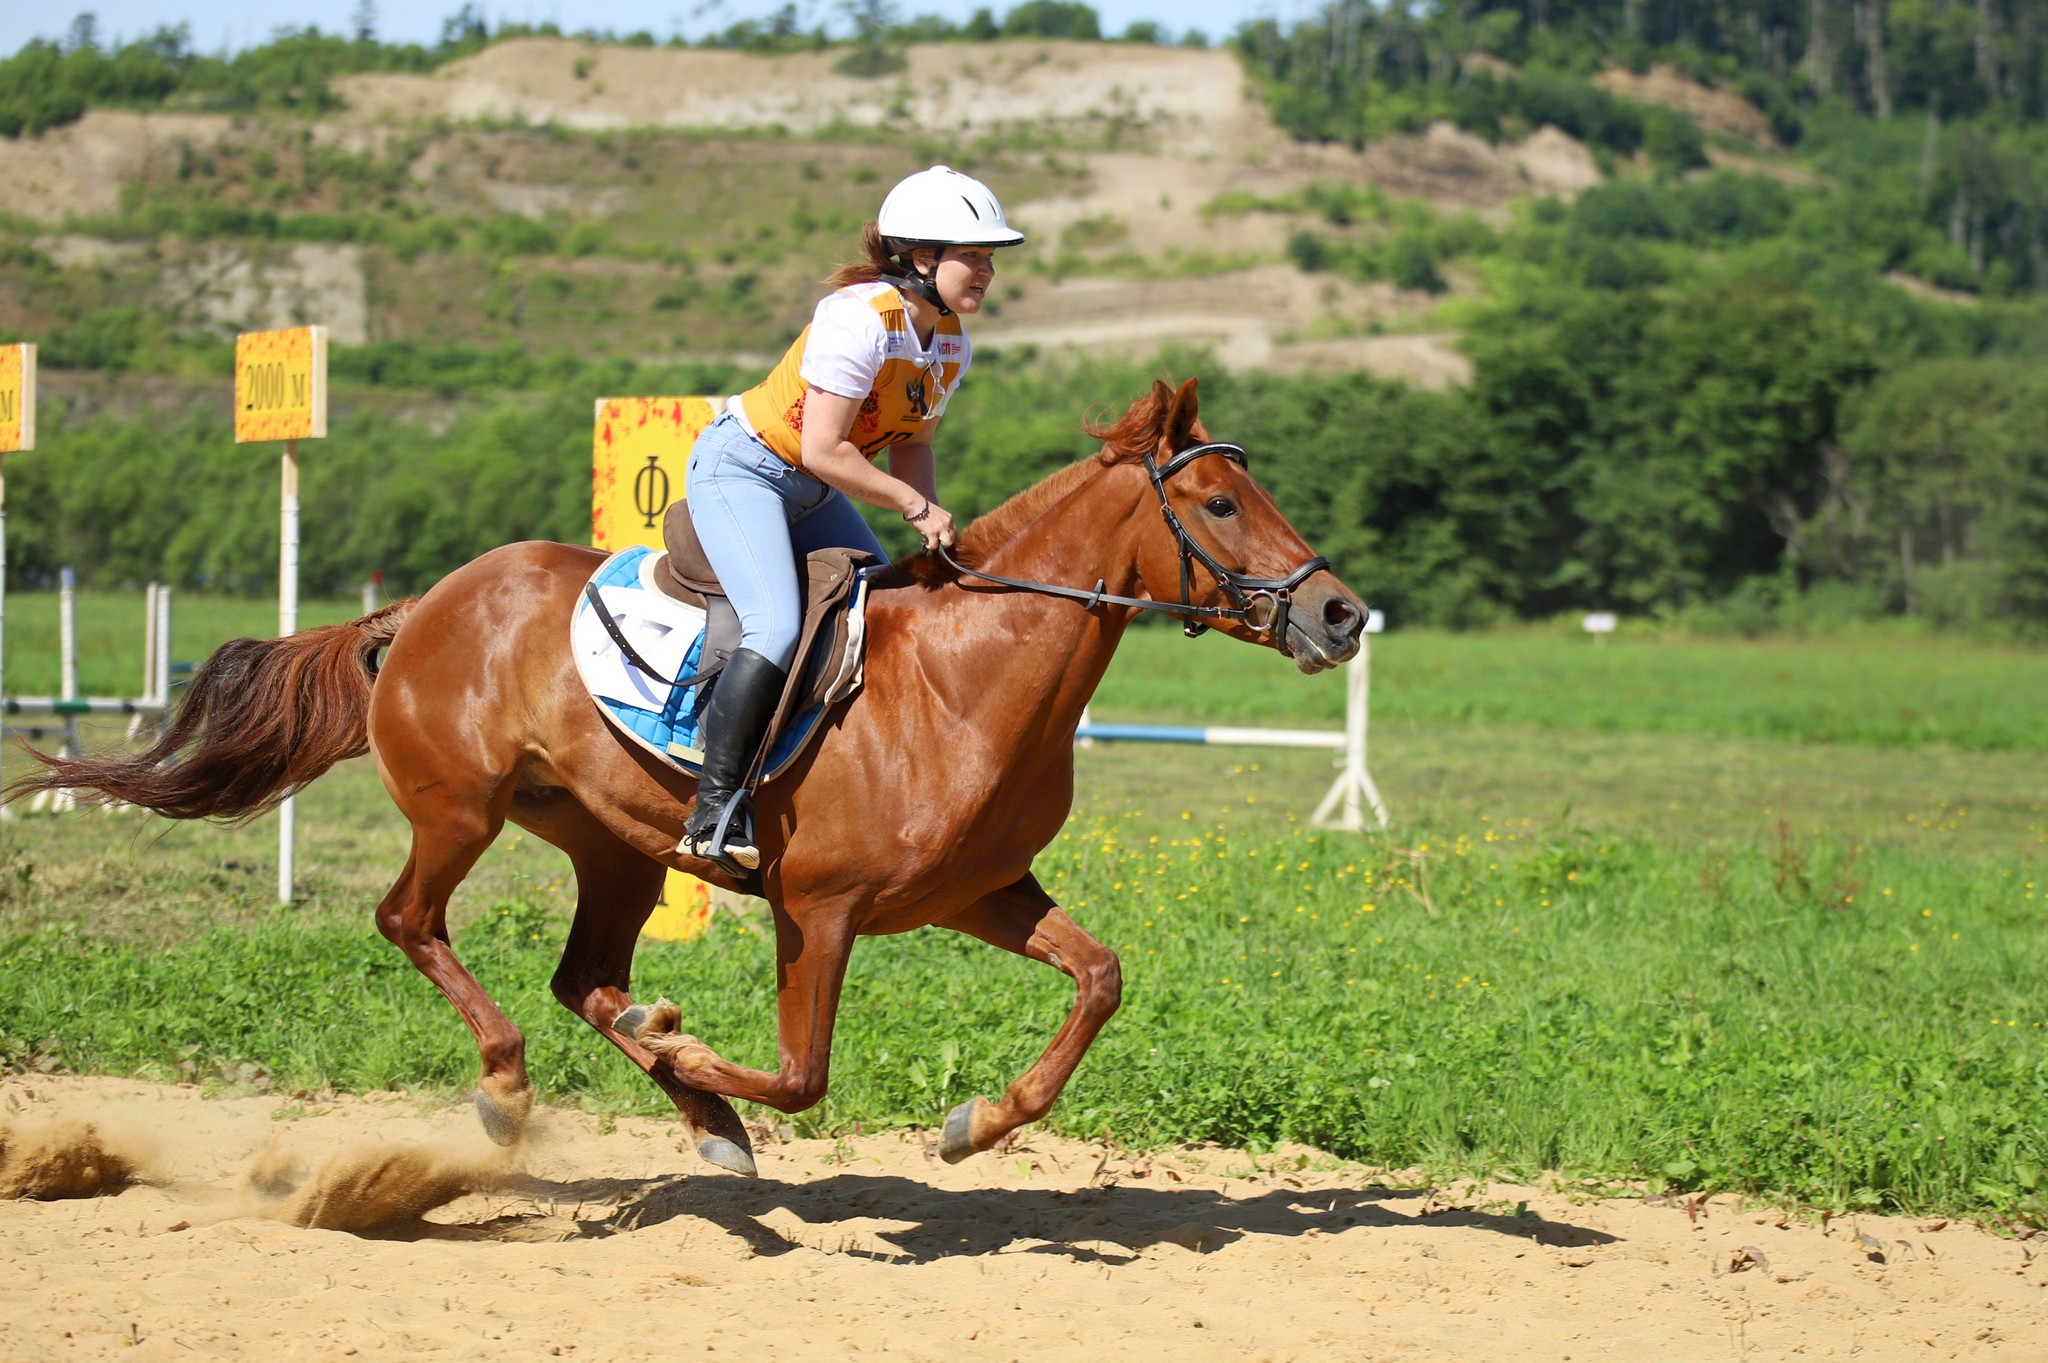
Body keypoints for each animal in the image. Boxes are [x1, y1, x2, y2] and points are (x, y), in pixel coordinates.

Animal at [16, 376, 1368, 1170]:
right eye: (1216, 502)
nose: (1342, 615)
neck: (964, 679)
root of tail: (423, 603)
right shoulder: (819, 909)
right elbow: (801, 1074)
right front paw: (691, 1055)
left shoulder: (980, 893)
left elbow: (1099, 979)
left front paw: (975, 1123)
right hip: (459, 810)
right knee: (413, 921)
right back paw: (518, 1088)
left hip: (610, 845)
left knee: (581, 976)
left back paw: (685, 1102)